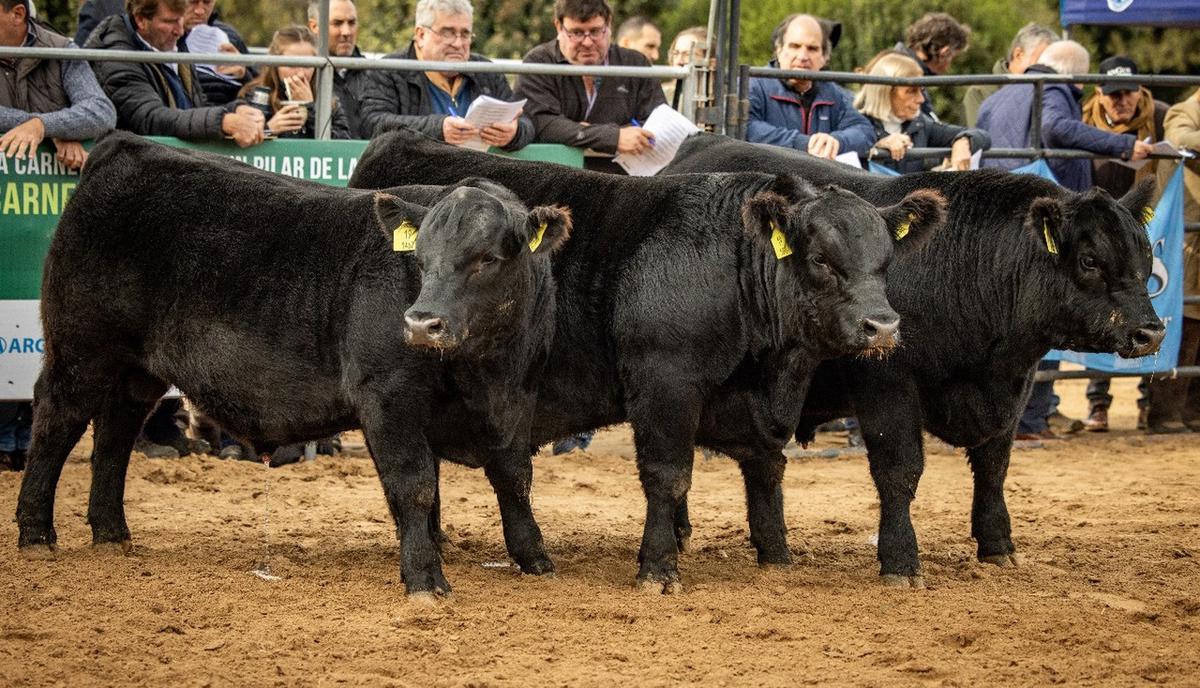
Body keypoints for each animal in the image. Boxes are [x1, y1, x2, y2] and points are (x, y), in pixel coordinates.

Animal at [12, 131, 566, 597]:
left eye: (489, 257)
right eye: (421, 257)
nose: (420, 324)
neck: (483, 370)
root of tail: (124, 146)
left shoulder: (517, 397)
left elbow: (515, 476)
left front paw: (536, 559)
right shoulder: (387, 395)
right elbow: (414, 487)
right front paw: (425, 579)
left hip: (136, 368)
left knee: (116, 431)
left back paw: (111, 533)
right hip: (80, 348)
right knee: (57, 420)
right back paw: (37, 533)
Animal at [350, 130, 950, 590]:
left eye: (885, 261)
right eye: (822, 259)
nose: (882, 326)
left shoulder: (760, 403)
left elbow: (766, 468)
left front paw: (776, 556)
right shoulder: (666, 382)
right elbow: (668, 475)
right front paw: (658, 568)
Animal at [662, 131, 1166, 581]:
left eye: (1145, 256)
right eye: (1089, 260)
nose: (1151, 332)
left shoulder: (1014, 386)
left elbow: (994, 467)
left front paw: (998, 546)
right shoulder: (887, 384)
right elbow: (899, 471)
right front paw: (901, 561)